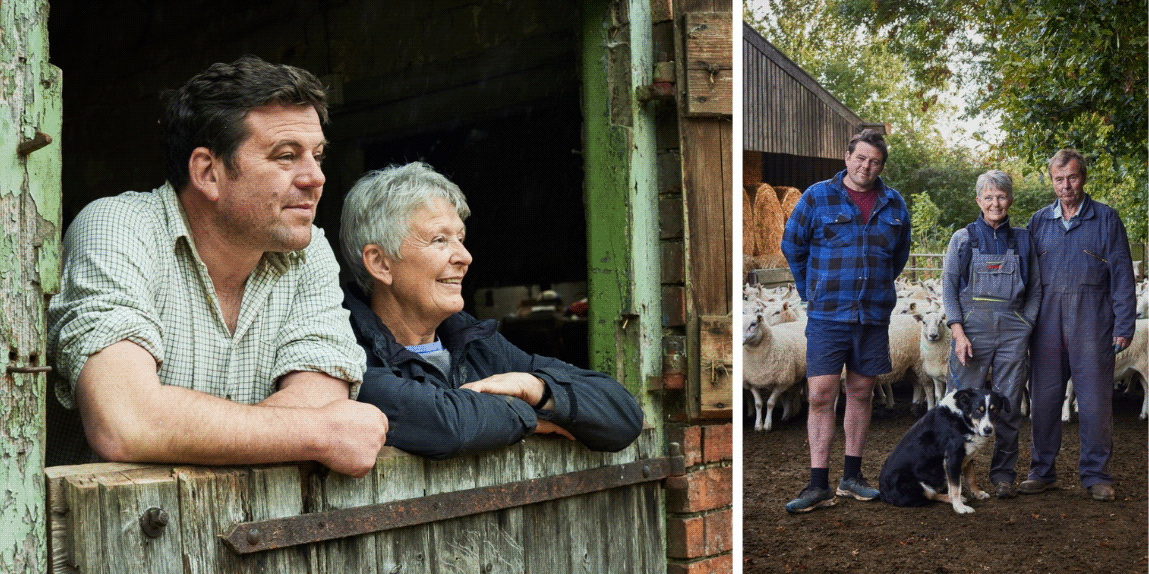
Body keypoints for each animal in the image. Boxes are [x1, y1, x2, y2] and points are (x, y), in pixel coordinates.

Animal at [877, 388, 1006, 514]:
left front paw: (977, 493)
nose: (988, 430)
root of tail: (882, 494)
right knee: (931, 495)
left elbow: (971, 478)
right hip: (911, 482)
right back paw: (952, 499)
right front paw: (959, 507)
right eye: (978, 410)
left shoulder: (968, 455)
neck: (961, 418)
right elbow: (955, 487)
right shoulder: (953, 458)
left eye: (994, 410)